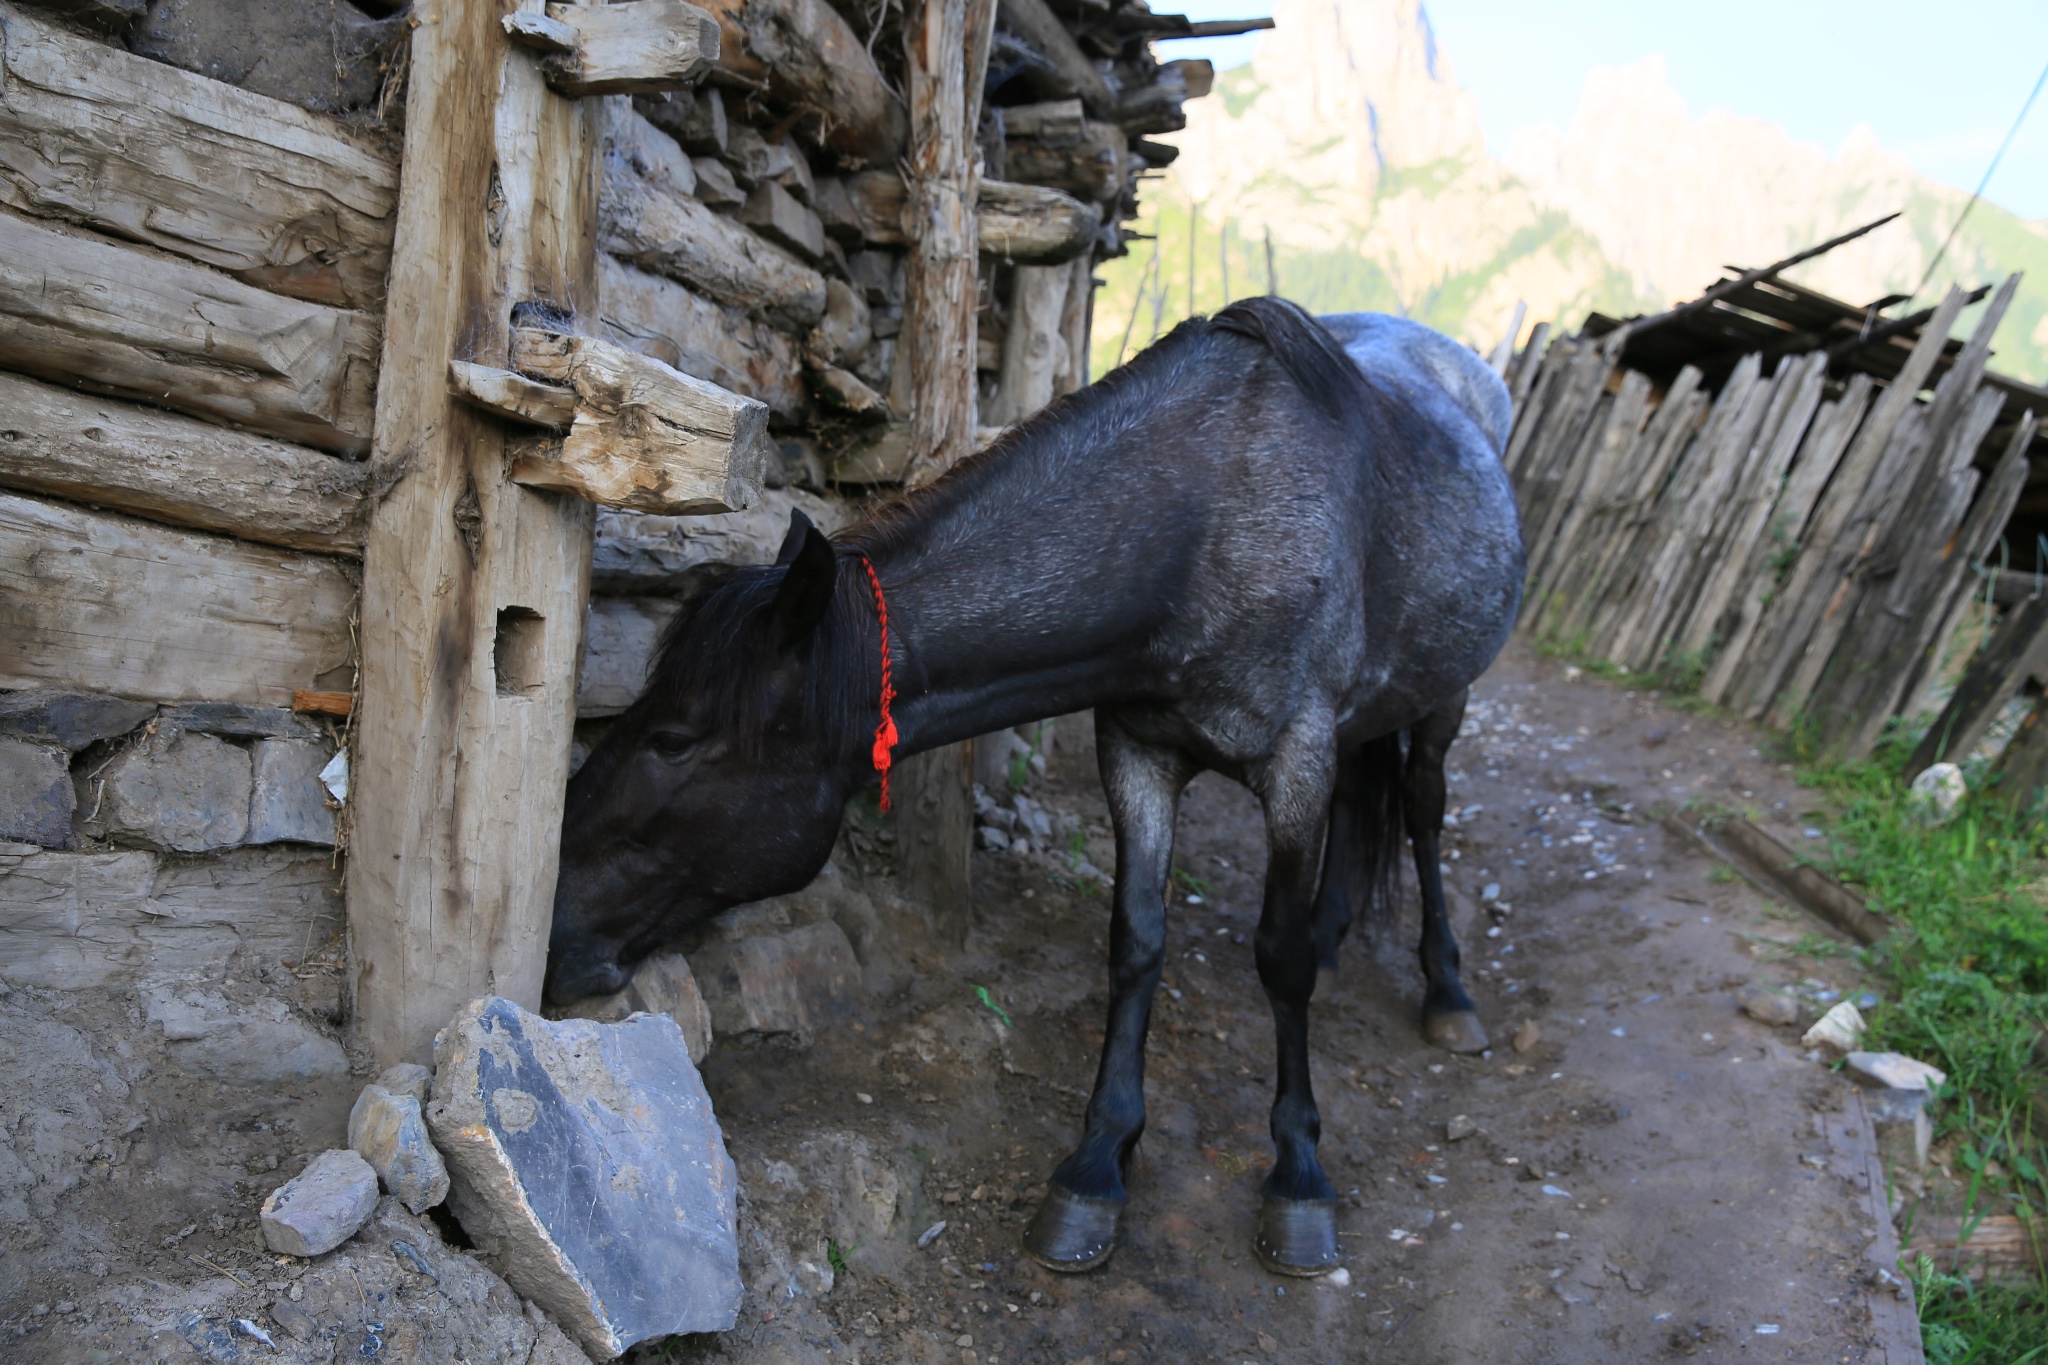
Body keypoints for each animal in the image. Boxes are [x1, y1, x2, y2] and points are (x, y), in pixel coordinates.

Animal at [544, 298, 1523, 1285]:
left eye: (672, 739)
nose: (551, 923)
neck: (1209, 530)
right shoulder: (1136, 748)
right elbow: (1136, 941)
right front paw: (1096, 1163)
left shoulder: (1297, 760)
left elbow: (1276, 958)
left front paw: (1299, 1175)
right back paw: (1338, 940)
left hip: (1447, 698)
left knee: (1423, 812)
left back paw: (1448, 994)